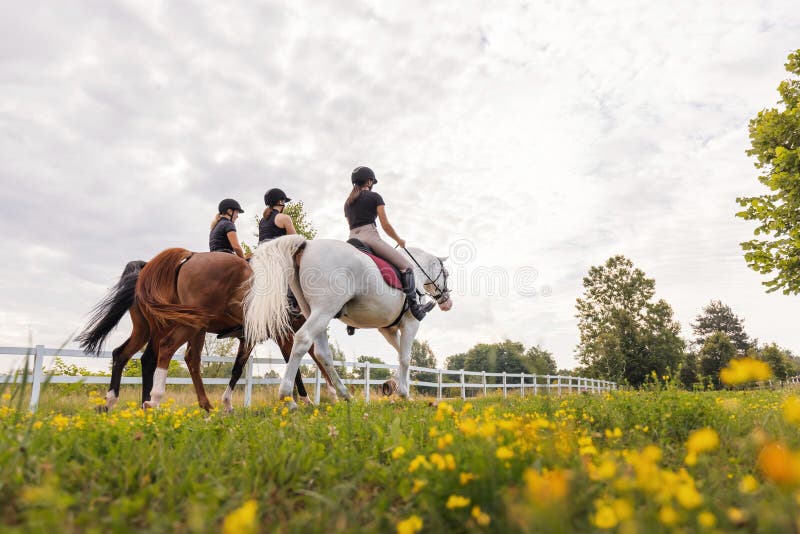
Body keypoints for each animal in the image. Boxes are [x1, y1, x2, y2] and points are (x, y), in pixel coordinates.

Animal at [77, 253, 334, 412]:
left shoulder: (253, 336)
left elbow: (239, 368)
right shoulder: (282, 334)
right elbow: (297, 365)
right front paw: (307, 399)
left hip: (151, 329)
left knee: (128, 355)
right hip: (181, 326)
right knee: (165, 352)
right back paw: (154, 400)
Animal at [245, 237, 450, 408]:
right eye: (446, 274)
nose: (447, 302)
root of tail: (307, 244)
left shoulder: (388, 329)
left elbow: (401, 354)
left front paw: (397, 385)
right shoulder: (411, 323)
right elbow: (406, 358)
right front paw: (404, 393)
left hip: (314, 311)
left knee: (323, 353)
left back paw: (345, 394)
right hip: (324, 310)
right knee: (303, 340)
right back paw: (287, 398)